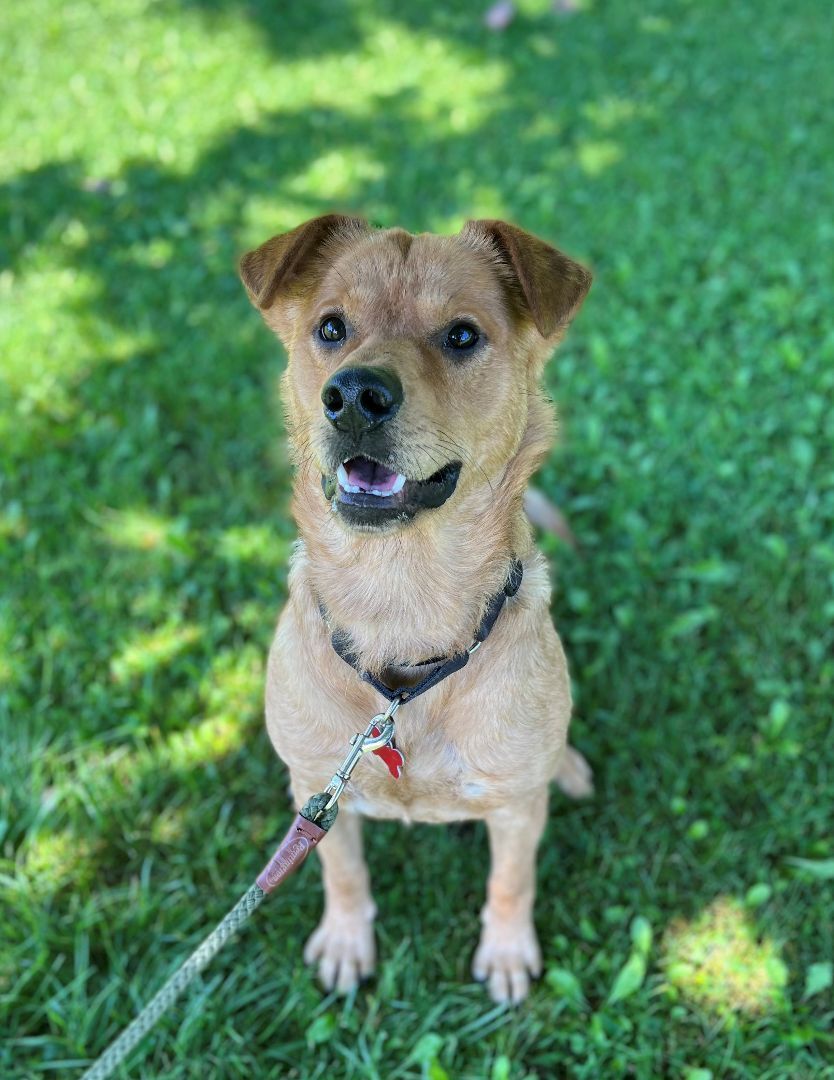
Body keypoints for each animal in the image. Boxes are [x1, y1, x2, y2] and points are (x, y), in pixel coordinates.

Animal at [239, 215, 593, 1003]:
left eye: (461, 335)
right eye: (330, 327)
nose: (353, 396)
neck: (401, 608)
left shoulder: (515, 809)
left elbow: (510, 882)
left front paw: (506, 952)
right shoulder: (314, 794)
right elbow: (343, 874)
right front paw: (346, 941)